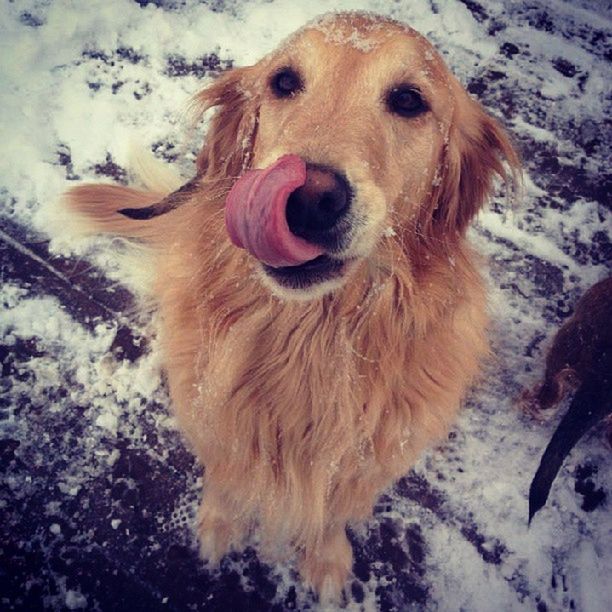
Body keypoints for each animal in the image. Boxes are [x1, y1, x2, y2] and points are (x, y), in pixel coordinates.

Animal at [65, 11, 516, 600]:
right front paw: (219, 525)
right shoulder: (214, 414)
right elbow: (227, 478)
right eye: (283, 82)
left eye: (408, 99)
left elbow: (329, 512)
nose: (309, 198)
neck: (310, 341)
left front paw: (325, 560)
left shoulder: (362, 457)